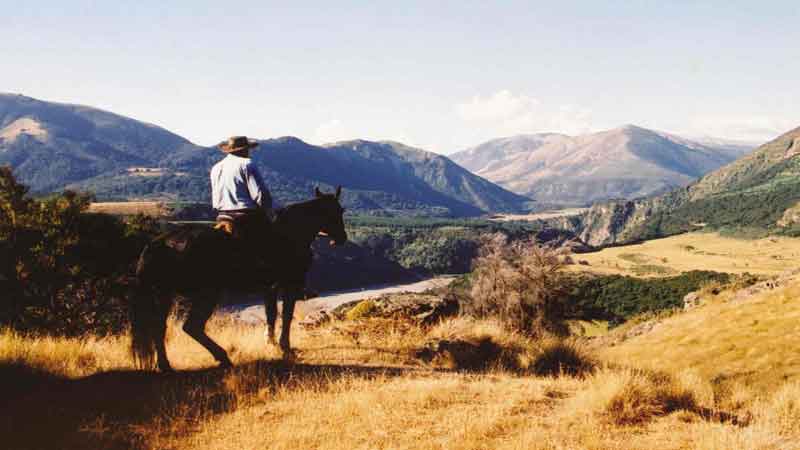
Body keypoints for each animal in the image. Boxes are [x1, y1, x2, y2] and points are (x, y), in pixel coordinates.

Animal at [128, 186, 346, 372]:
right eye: (338, 211)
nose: (342, 238)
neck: (290, 235)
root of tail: (161, 242)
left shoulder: (270, 288)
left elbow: (271, 314)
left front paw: (271, 343)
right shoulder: (289, 284)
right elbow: (286, 315)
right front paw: (285, 348)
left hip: (165, 294)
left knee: (159, 327)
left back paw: (165, 365)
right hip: (206, 294)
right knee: (192, 326)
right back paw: (222, 357)